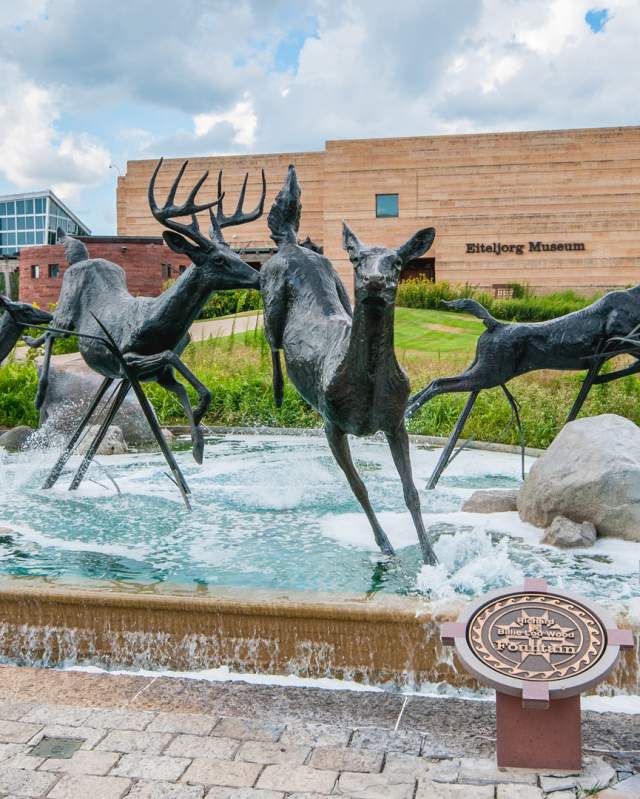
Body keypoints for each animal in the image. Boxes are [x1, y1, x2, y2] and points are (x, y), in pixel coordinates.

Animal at [28, 159, 264, 504]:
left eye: (236, 253)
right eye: (219, 259)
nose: (259, 277)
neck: (156, 322)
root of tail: (81, 256)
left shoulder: (152, 375)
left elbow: (185, 384)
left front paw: (197, 446)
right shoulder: (127, 359)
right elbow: (171, 360)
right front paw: (197, 434)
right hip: (66, 308)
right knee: (47, 335)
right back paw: (39, 392)